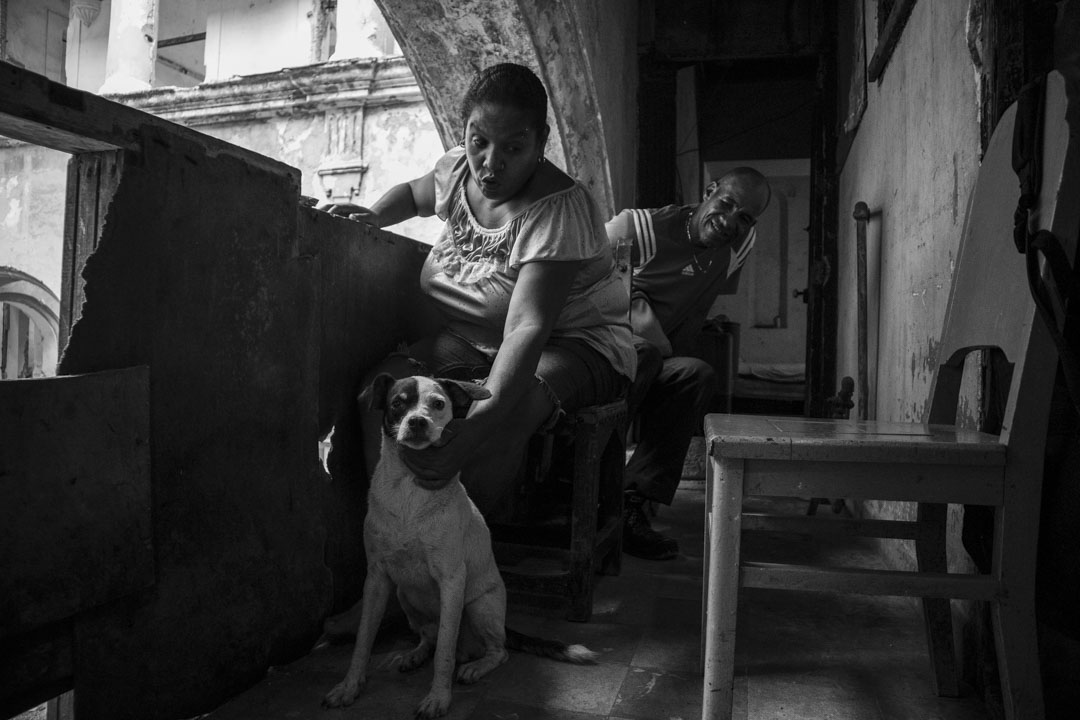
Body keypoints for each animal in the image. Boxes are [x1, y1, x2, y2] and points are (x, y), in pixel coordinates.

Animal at [323, 373, 598, 718]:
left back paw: (475, 667)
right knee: (429, 638)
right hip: (405, 598)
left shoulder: (452, 580)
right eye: (398, 403)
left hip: (478, 606)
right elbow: (363, 641)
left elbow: (445, 653)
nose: (417, 421)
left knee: (497, 650)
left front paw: (438, 698)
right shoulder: (376, 578)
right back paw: (413, 655)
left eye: (438, 404)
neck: (408, 487)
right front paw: (349, 687)